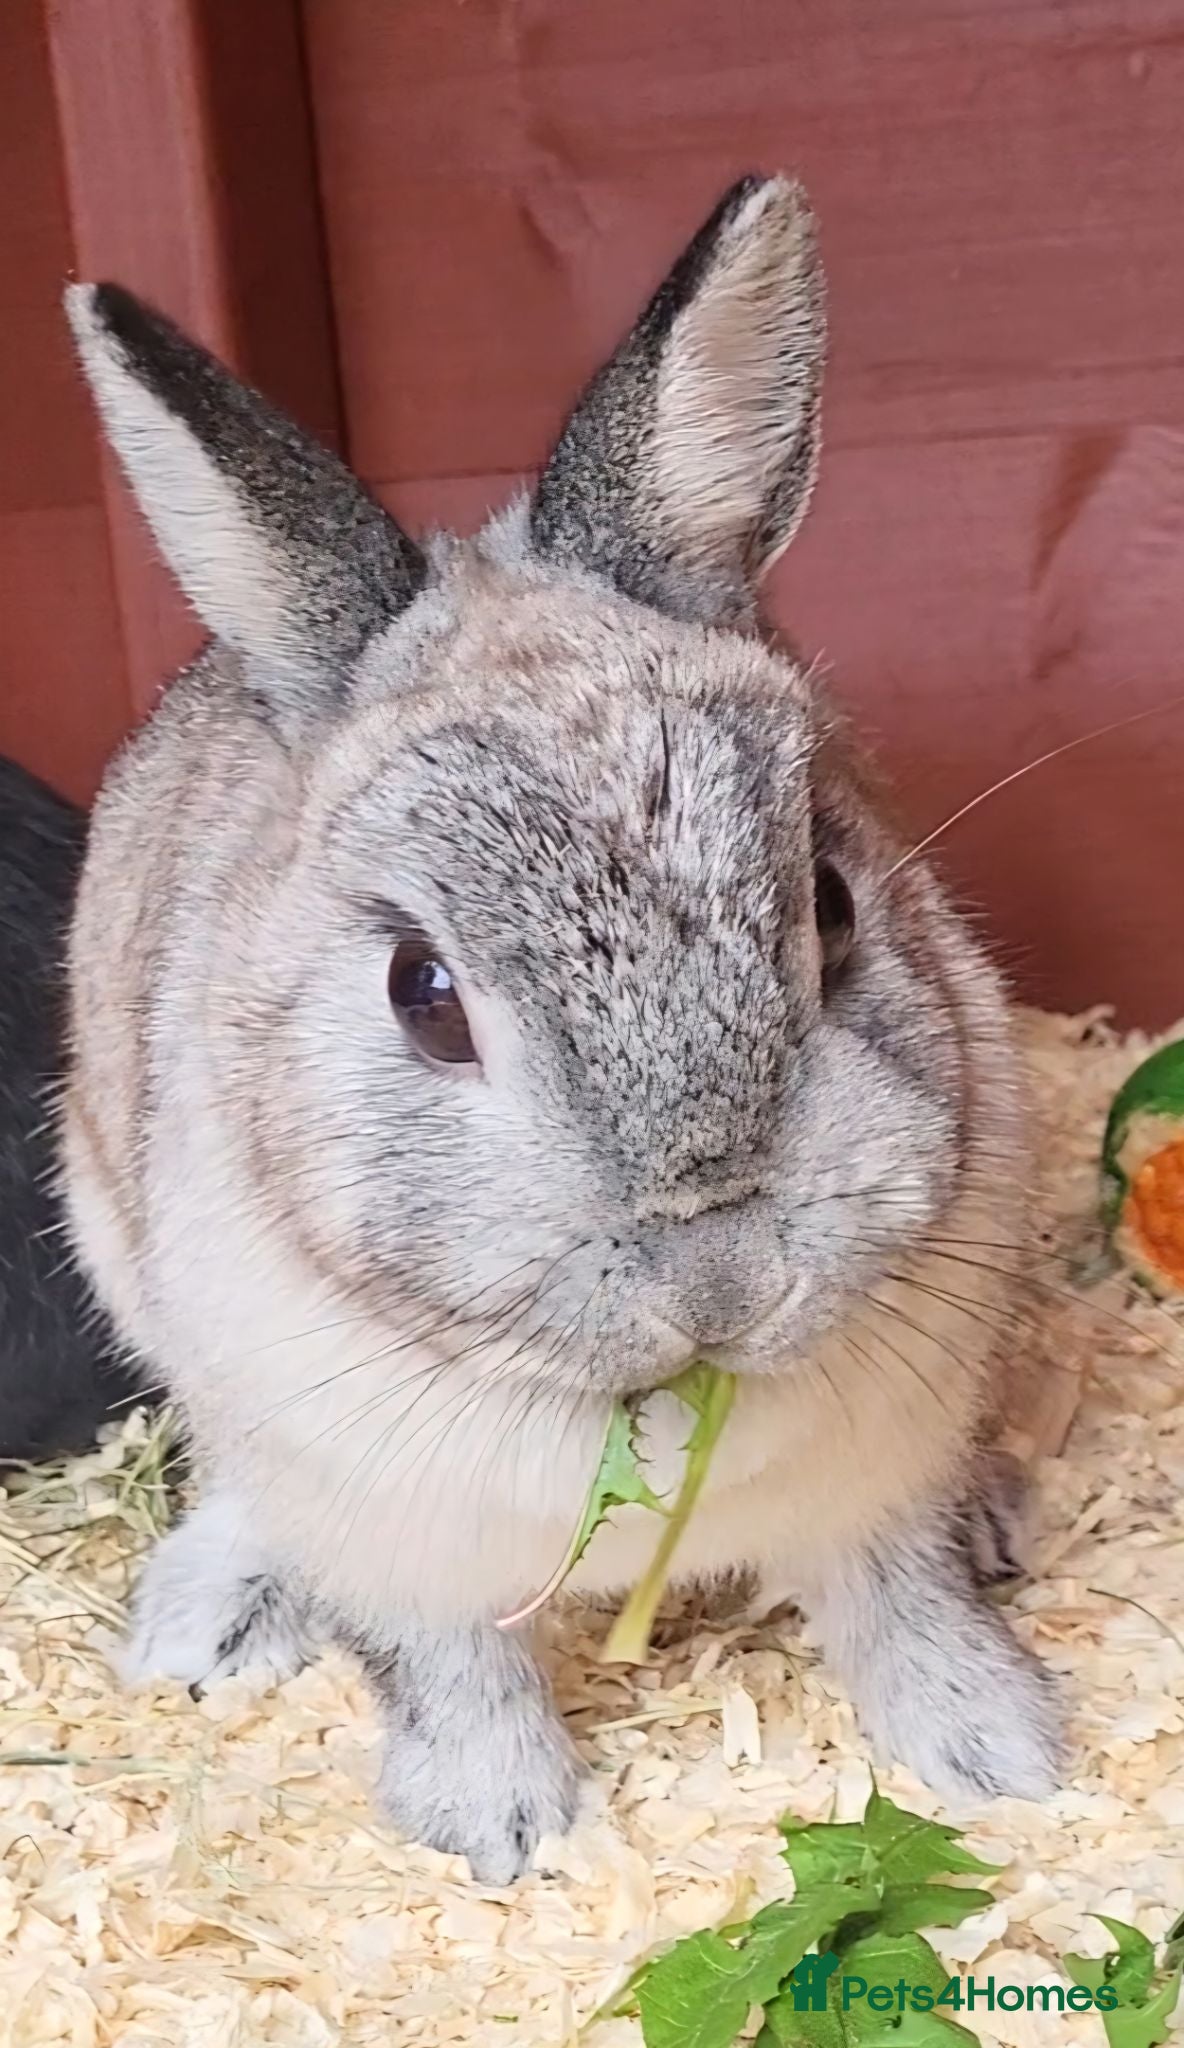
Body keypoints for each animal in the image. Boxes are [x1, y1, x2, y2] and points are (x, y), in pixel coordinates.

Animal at [61, 174, 1062, 1883]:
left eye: (833, 904)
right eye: (422, 994)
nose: (719, 1277)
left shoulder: (888, 1475)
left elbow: (904, 1603)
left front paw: (997, 1761)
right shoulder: (395, 1541)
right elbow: (448, 1669)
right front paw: (499, 1833)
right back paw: (214, 1616)